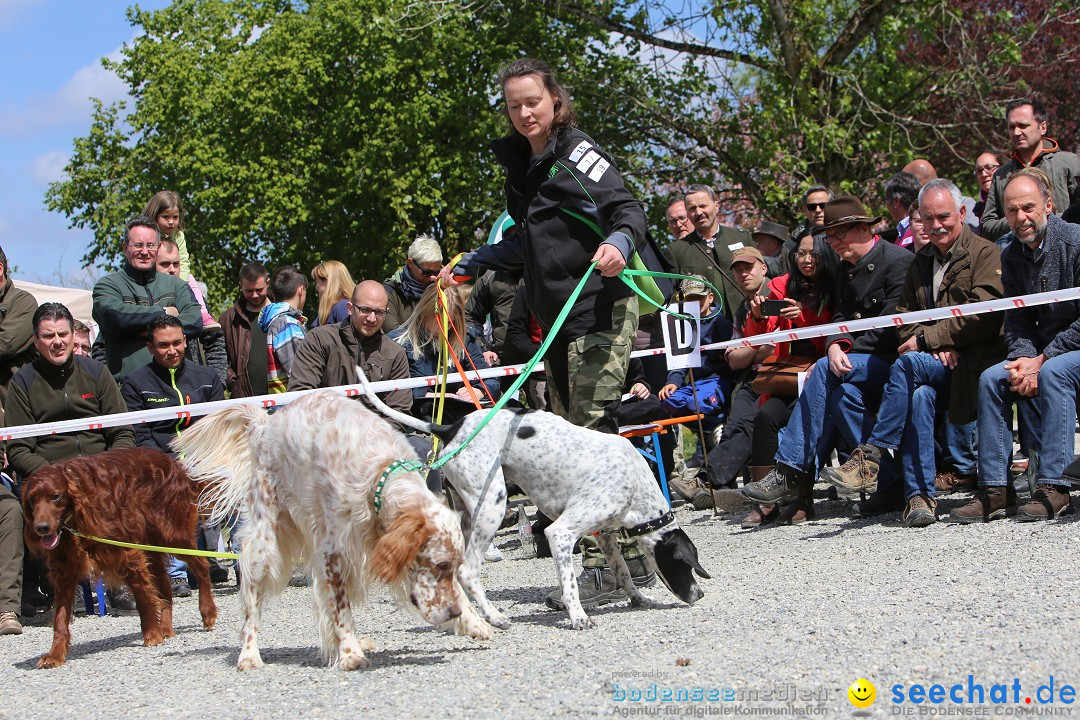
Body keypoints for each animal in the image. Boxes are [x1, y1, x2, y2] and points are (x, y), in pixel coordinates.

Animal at [22, 446, 214, 669]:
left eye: (55, 496)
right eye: (32, 500)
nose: (42, 528)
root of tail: (175, 465)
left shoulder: (127, 554)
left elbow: (143, 598)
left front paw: (152, 634)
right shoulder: (64, 572)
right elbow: (60, 619)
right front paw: (55, 654)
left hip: (172, 535)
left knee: (201, 565)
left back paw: (208, 613)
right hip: (152, 545)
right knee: (166, 587)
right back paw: (166, 628)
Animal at [178, 390, 494, 673]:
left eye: (452, 567)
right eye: (440, 565)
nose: (453, 613)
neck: (377, 473)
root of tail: (265, 425)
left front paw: (474, 621)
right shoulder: (333, 551)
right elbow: (341, 609)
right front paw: (350, 654)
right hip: (263, 547)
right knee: (251, 609)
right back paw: (249, 656)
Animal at [354, 367, 708, 630]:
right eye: (684, 564)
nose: (700, 594)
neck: (634, 483)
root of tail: (450, 428)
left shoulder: (604, 535)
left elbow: (621, 572)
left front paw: (638, 599)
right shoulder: (561, 533)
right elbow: (569, 582)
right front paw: (578, 616)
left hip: (467, 515)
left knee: (455, 573)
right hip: (492, 508)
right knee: (468, 571)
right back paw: (495, 617)